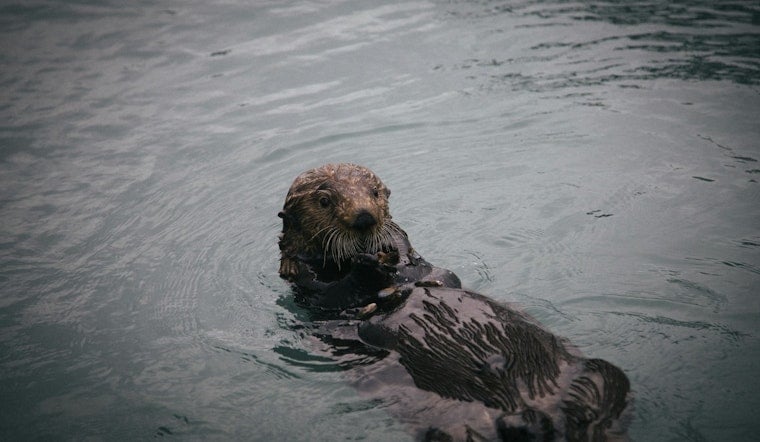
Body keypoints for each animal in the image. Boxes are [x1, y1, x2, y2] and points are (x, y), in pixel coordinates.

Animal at [277, 163, 631, 441]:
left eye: (375, 193)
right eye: (325, 201)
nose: (364, 218)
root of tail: (536, 411)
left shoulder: (414, 257)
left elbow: (419, 262)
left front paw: (388, 252)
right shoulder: (304, 283)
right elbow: (330, 295)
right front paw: (366, 270)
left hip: (597, 375)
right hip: (456, 427)